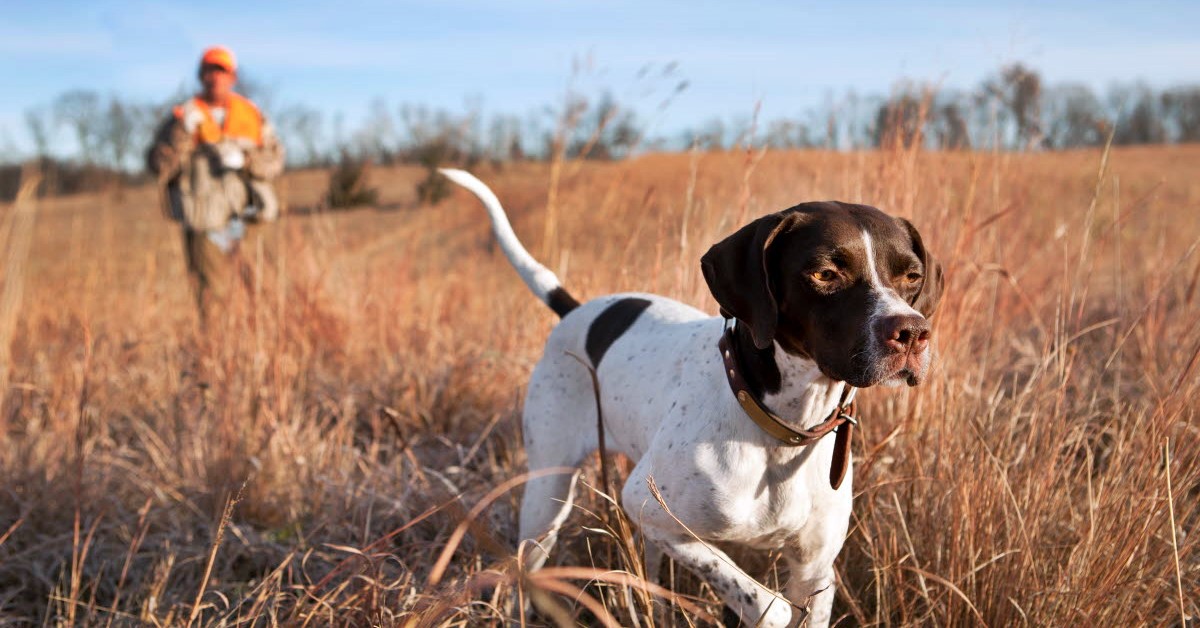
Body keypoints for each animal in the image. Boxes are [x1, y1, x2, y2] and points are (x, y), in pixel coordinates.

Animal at [436, 169, 940, 624]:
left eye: (912, 276)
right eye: (825, 272)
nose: (912, 333)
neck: (779, 426)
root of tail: (575, 311)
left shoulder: (815, 570)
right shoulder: (649, 507)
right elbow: (767, 605)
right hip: (549, 497)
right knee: (523, 568)